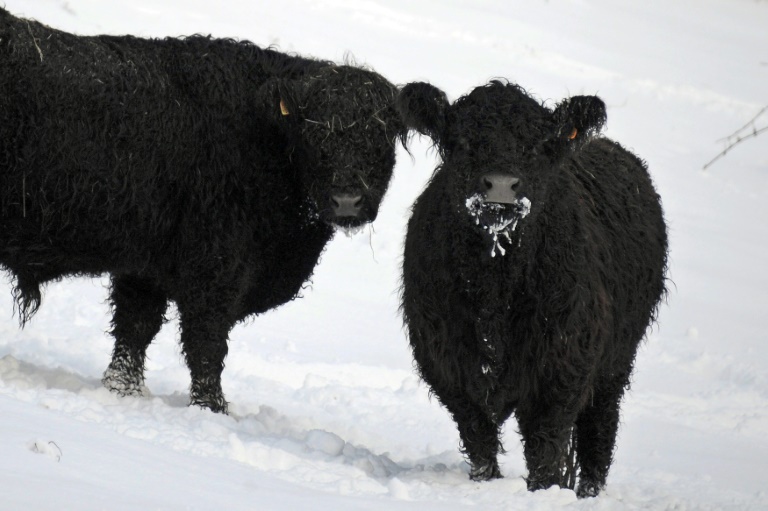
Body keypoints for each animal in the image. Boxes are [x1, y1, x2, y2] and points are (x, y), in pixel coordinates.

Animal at [396, 81, 664, 500]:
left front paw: (543, 492)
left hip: (616, 362)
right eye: (461, 140)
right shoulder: (448, 364)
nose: (502, 185)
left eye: (536, 145)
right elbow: (479, 441)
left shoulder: (562, 368)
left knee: (598, 432)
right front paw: (485, 484)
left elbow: (545, 447)